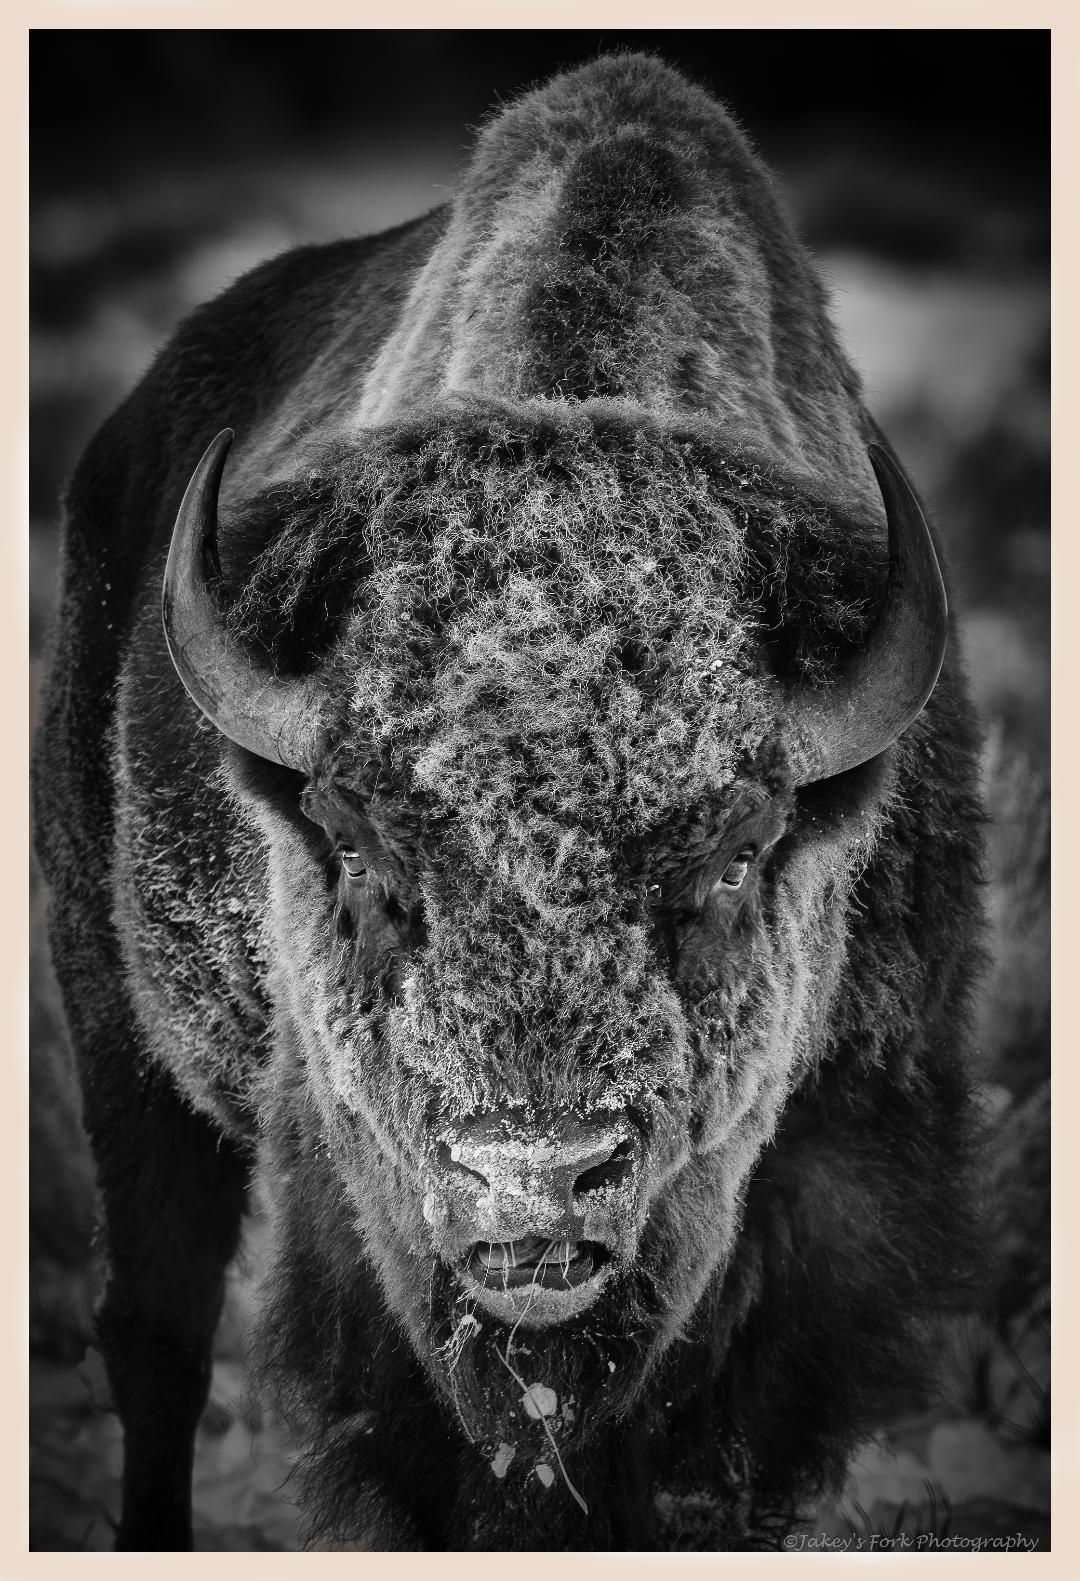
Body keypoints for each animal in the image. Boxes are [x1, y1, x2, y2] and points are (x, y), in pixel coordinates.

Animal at [33, 55, 986, 1549]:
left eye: (737, 852)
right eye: (359, 850)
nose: (533, 1181)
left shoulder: (831, 1221)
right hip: (120, 1035)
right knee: (156, 1332)